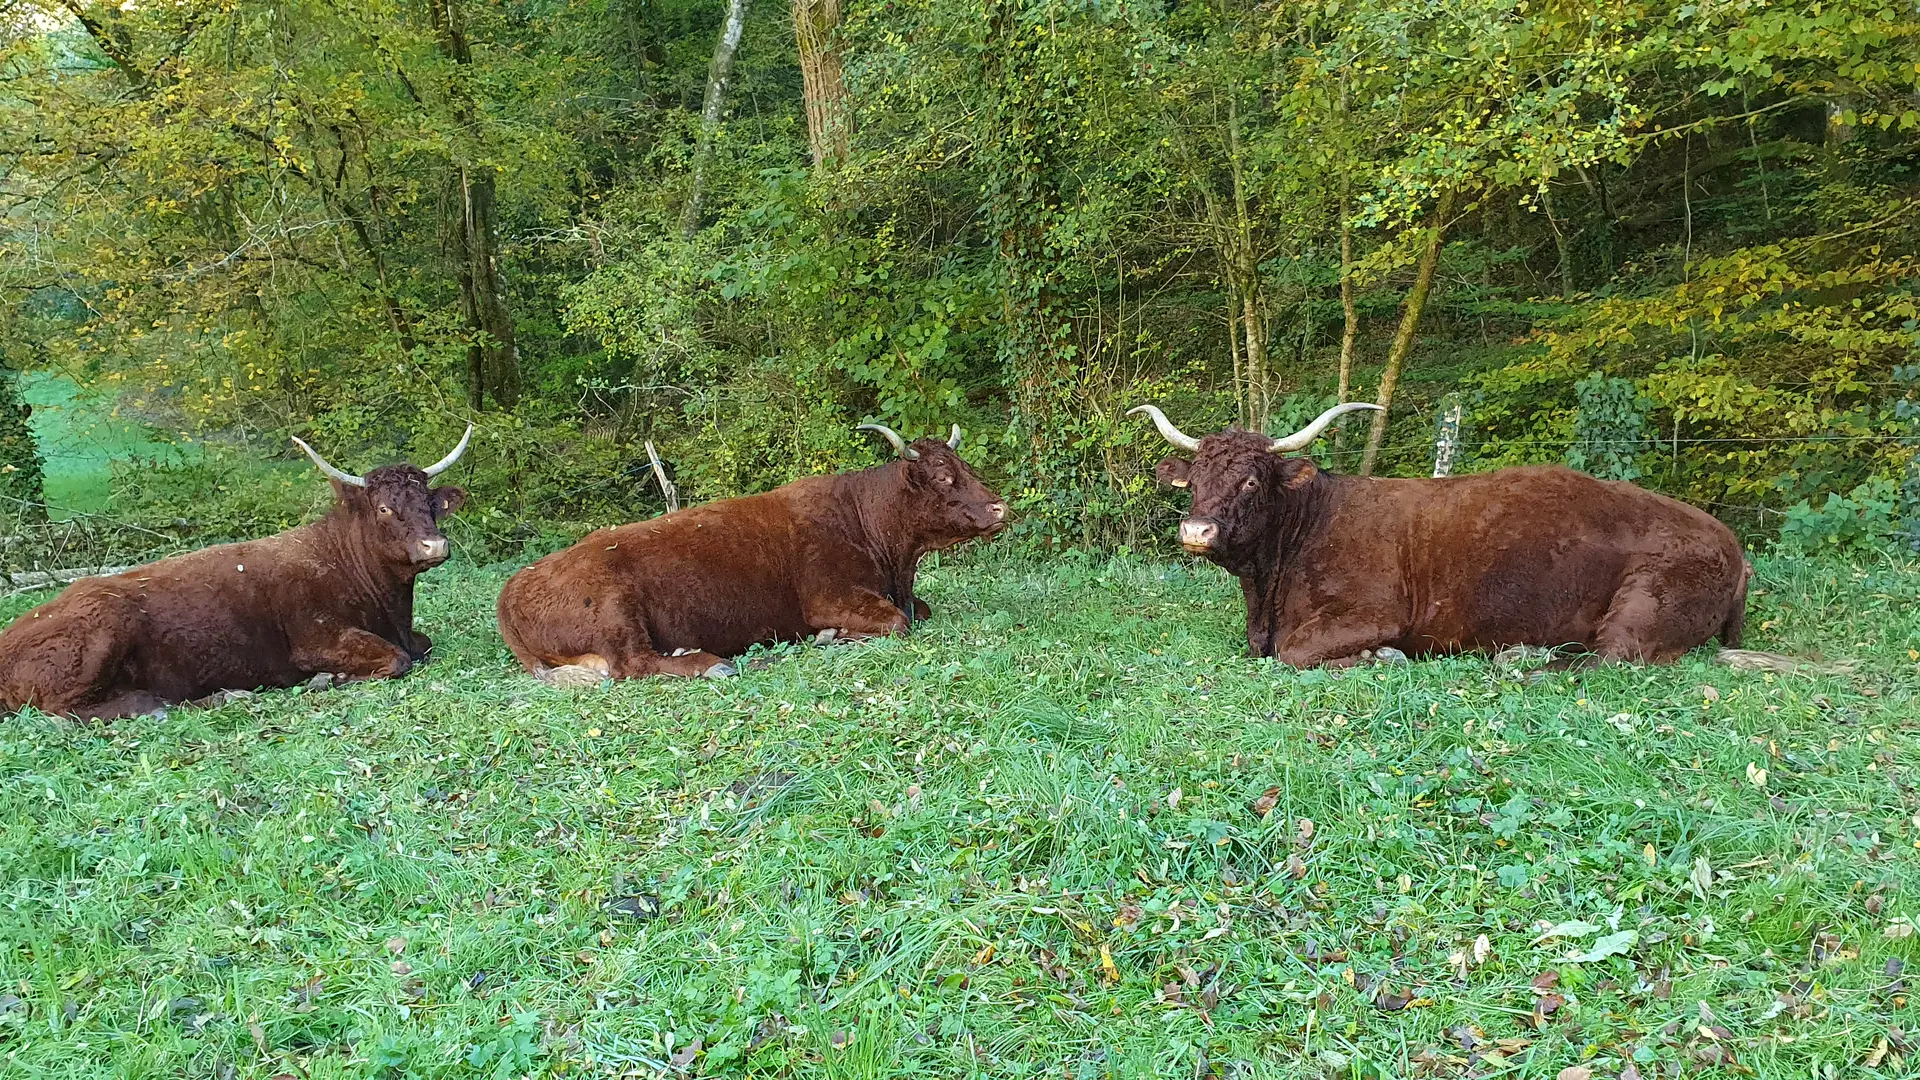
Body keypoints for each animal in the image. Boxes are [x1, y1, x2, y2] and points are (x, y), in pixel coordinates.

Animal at [0, 428, 473, 719]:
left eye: (429, 503)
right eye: (384, 508)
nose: (434, 546)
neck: (389, 607)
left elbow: (422, 646)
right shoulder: (316, 639)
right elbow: (397, 659)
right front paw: (328, 679)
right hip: (100, 634)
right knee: (66, 710)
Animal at [496, 423, 1007, 685]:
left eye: (966, 467)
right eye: (942, 475)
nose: (1001, 507)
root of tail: (514, 585)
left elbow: (918, 610)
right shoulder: (830, 596)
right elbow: (899, 622)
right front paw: (832, 637)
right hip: (614, 607)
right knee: (632, 663)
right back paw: (710, 662)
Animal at [1130, 402, 1750, 668]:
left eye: (1252, 481)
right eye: (1195, 481)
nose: (1196, 529)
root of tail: (1729, 542)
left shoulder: (1374, 611)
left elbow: (1293, 651)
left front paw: (1383, 657)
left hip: (1644, 602)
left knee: (1609, 660)